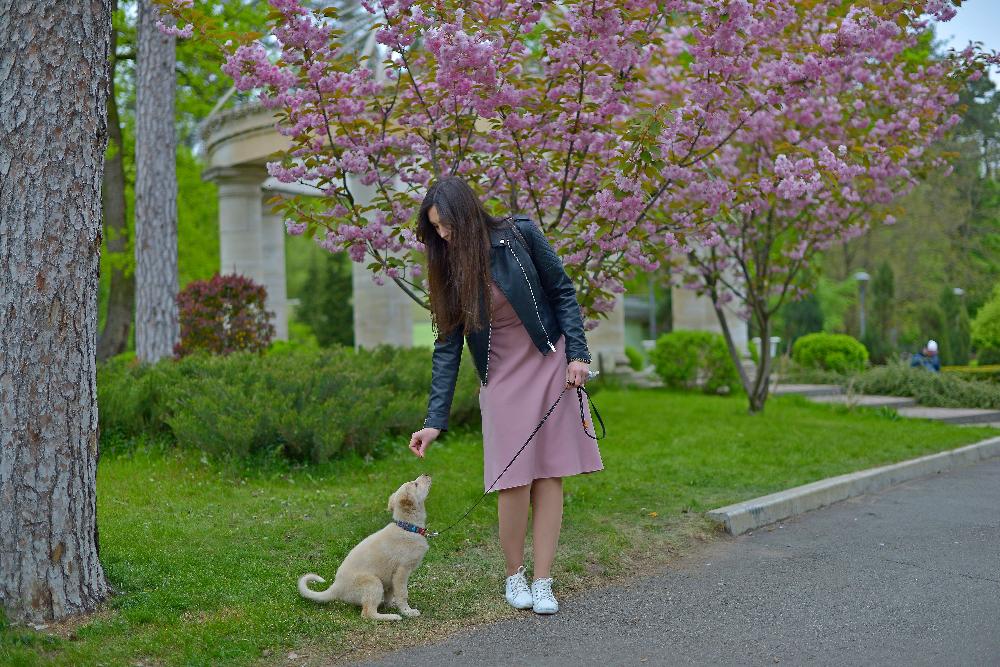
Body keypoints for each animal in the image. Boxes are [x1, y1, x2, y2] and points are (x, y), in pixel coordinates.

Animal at [294, 474, 432, 620]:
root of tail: (336, 587)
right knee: (367, 613)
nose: (426, 474)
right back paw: (392, 616)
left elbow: (390, 594)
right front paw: (407, 611)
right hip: (373, 582)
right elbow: (403, 594)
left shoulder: (391, 578)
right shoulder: (401, 571)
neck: (408, 528)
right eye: (416, 484)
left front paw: (391, 604)